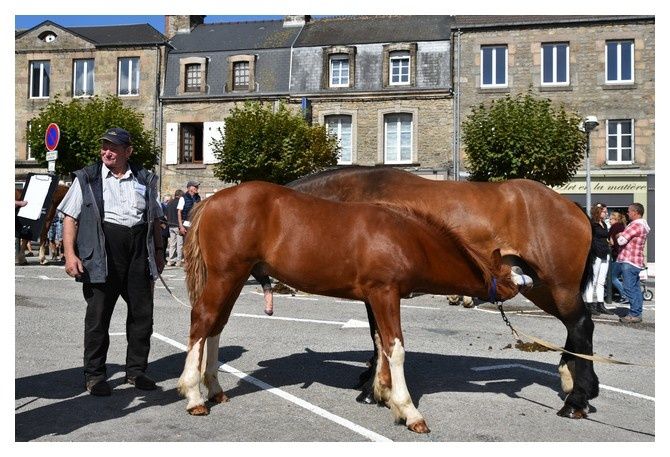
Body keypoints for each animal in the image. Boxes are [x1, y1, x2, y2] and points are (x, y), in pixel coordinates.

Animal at [178, 180, 532, 432]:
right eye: (503, 272)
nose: (521, 283)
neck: (405, 237)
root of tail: (210, 201)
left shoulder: (374, 297)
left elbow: (380, 342)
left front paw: (381, 393)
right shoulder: (385, 293)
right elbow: (395, 347)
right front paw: (408, 409)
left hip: (235, 278)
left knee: (216, 325)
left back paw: (215, 388)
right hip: (225, 276)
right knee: (202, 320)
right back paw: (194, 395)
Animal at [286, 166, 600, 418]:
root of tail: (572, 207)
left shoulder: (380, 289)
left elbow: (380, 338)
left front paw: (374, 390)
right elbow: (378, 338)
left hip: (559, 284)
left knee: (581, 324)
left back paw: (577, 399)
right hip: (542, 288)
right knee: (574, 325)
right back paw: (576, 382)